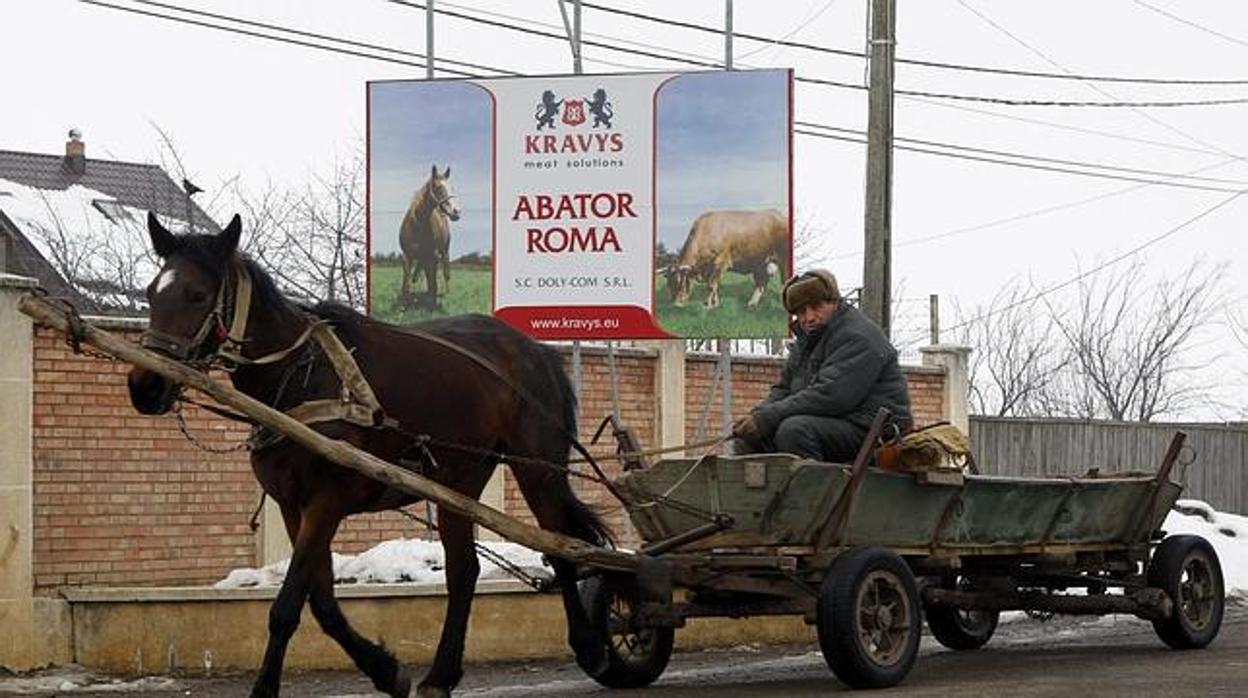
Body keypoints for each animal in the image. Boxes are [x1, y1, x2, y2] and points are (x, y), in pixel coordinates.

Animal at [129, 214, 611, 698]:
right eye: (151, 292)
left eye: (197, 294)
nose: (145, 386)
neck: (301, 375)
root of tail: (535, 349)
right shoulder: (293, 506)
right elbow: (321, 600)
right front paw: (385, 669)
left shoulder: (326, 500)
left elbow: (287, 606)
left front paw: (266, 688)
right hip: (458, 483)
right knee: (463, 571)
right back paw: (440, 675)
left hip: (537, 470)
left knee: (562, 549)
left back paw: (590, 647)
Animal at [399, 164, 459, 307]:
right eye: (438, 187)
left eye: (452, 187)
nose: (456, 212)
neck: (418, 224)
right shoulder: (407, 255)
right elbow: (406, 282)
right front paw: (404, 304)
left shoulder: (434, 255)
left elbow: (434, 281)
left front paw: (432, 302)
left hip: (443, 253)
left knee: (444, 273)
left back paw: (444, 293)